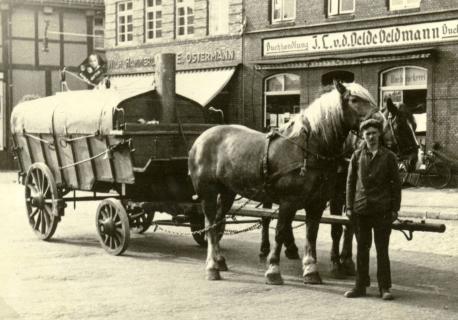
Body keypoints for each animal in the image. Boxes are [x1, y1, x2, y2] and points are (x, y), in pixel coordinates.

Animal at [189, 81, 382, 284]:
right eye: (354, 100)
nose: (380, 121)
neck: (307, 149)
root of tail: (201, 138)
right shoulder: (288, 202)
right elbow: (280, 231)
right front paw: (273, 269)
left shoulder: (317, 203)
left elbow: (311, 233)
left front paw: (311, 270)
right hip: (208, 193)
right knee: (210, 225)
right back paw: (212, 267)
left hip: (228, 192)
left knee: (217, 222)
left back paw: (219, 260)